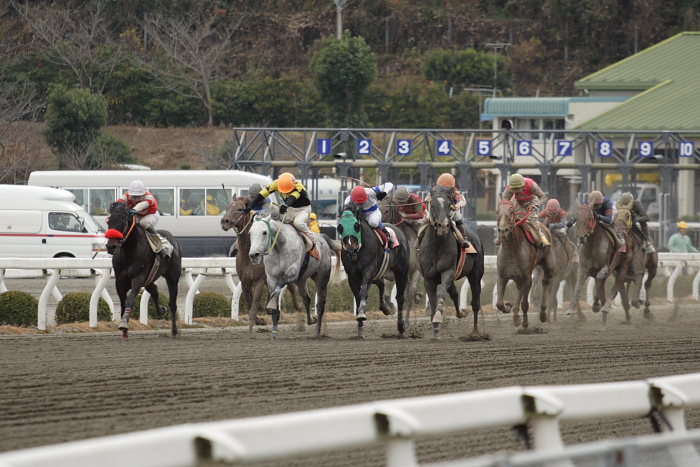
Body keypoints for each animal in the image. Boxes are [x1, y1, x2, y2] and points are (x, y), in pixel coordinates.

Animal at [249, 212, 340, 340]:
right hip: (301, 281)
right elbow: (275, 295)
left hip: (322, 278)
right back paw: (311, 320)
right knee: (307, 299)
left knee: (320, 305)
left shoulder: (292, 273)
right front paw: (273, 334)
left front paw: (270, 304)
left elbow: (279, 288)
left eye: (264, 232)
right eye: (250, 233)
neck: (280, 246)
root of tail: (323, 237)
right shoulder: (271, 278)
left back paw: (317, 332)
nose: (254, 255)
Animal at [418, 187, 484, 340]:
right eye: (432, 205)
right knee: (454, 292)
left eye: (449, 205)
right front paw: (436, 331)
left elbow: (441, 294)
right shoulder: (428, 279)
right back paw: (460, 314)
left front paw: (437, 318)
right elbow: (434, 301)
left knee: (475, 303)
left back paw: (475, 332)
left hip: (475, 274)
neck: (436, 247)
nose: (443, 226)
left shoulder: (447, 272)